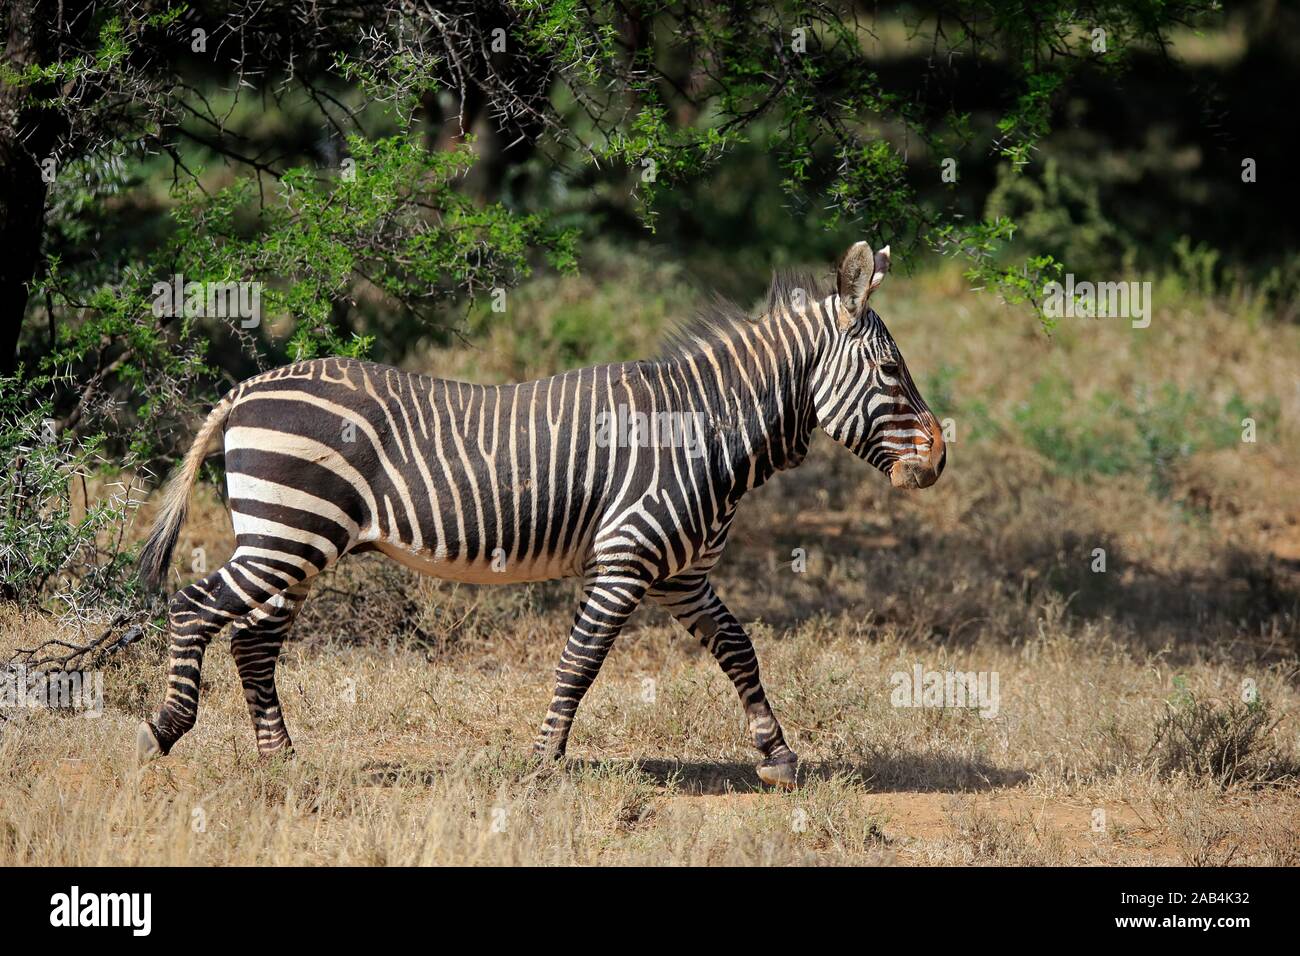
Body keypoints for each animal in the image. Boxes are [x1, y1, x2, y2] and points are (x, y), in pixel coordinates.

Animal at [137, 243, 946, 790]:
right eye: (889, 371)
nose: (939, 459)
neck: (704, 431)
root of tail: (247, 388)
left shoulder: (682, 576)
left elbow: (739, 649)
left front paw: (776, 756)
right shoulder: (625, 560)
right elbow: (581, 662)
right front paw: (544, 763)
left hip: (293, 541)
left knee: (252, 641)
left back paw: (282, 763)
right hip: (288, 534)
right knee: (193, 606)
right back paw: (165, 730)